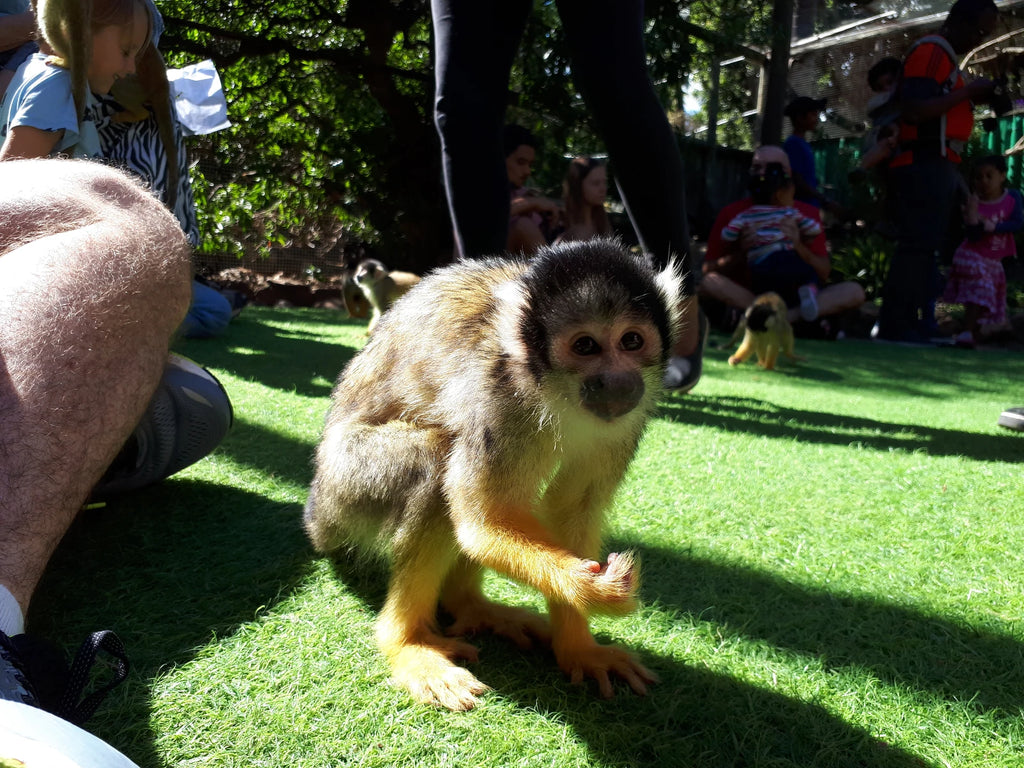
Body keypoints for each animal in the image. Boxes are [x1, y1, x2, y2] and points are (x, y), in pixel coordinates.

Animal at [304, 238, 682, 711]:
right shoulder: (497, 398)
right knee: (435, 462)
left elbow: (570, 510)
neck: (552, 390)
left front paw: (580, 648)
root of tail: (317, 509)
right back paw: (407, 642)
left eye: (631, 340)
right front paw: (594, 591)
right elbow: (483, 526)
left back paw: (470, 606)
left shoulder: (628, 419)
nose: (616, 381)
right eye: (585, 346)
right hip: (347, 485)